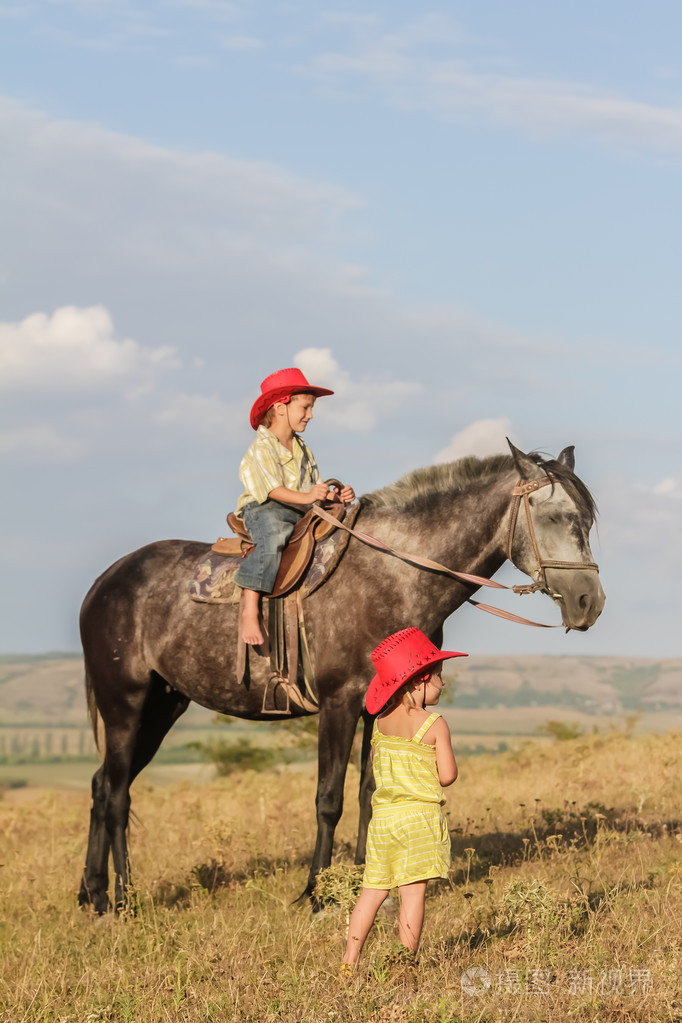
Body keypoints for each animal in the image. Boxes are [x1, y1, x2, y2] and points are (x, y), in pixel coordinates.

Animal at [78, 442, 604, 913]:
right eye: (553, 518)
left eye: (588, 522)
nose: (590, 602)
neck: (393, 575)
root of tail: (102, 584)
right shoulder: (339, 703)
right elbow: (329, 797)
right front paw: (317, 893)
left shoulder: (383, 707)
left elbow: (371, 793)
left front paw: (373, 886)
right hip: (125, 704)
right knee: (118, 794)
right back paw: (124, 898)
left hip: (162, 706)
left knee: (102, 785)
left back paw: (94, 894)